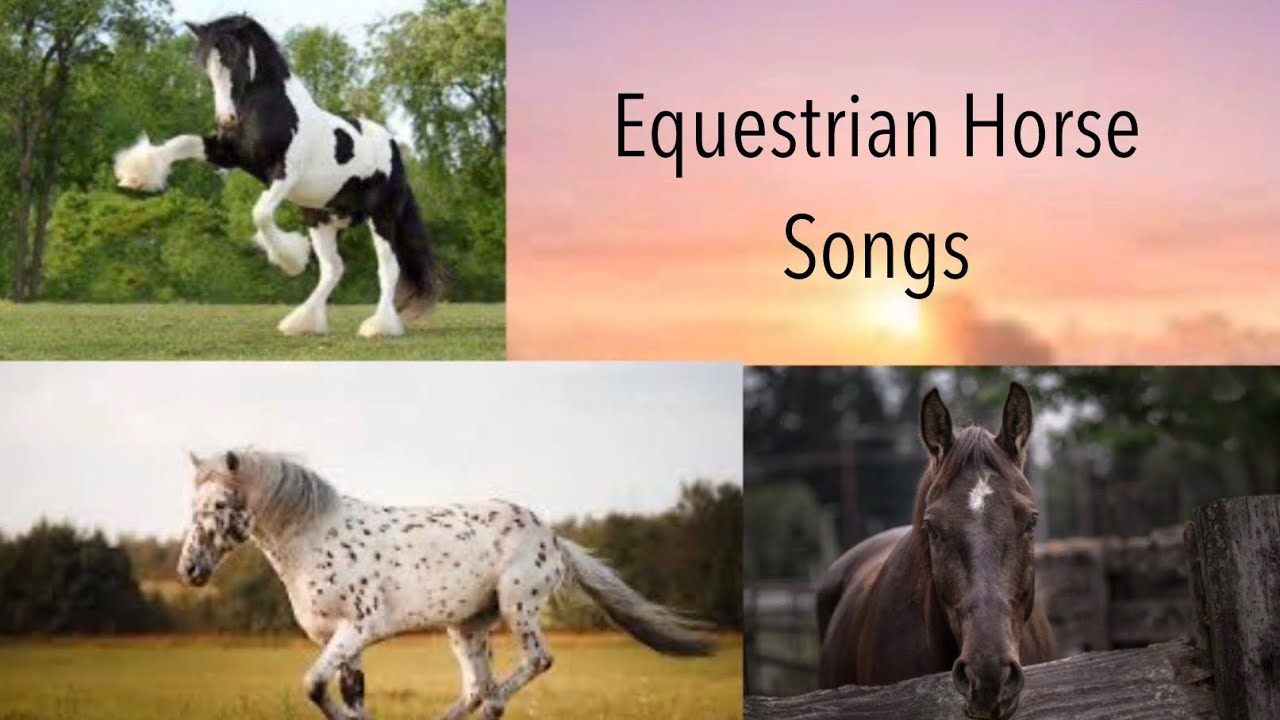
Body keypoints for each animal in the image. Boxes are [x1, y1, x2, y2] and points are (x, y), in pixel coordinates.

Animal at [113, 15, 439, 338]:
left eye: (235, 59)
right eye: (205, 65)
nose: (226, 120)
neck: (270, 111)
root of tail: (393, 146)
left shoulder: (284, 175)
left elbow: (260, 214)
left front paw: (289, 261)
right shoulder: (228, 154)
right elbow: (181, 142)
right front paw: (135, 175)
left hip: (381, 215)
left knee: (388, 269)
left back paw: (378, 326)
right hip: (322, 217)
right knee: (333, 268)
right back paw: (301, 323)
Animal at [177, 450, 714, 720]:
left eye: (221, 505)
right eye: (192, 505)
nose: (189, 570)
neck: (314, 538)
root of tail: (553, 537)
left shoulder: (357, 629)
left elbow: (312, 685)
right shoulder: (343, 642)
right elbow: (349, 696)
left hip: (518, 606)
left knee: (528, 667)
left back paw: (498, 702)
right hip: (466, 626)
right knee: (476, 688)